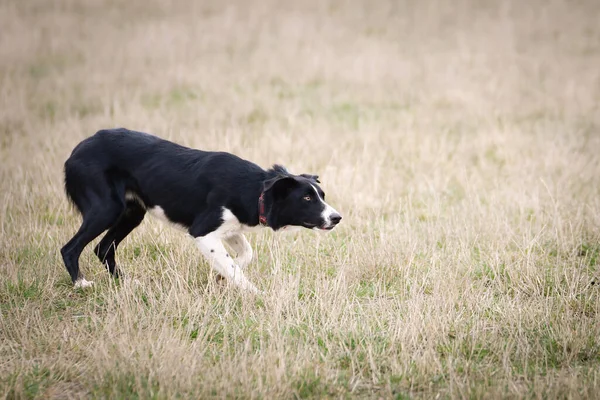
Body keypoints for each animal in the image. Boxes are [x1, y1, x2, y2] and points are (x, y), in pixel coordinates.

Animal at [62, 130, 342, 292]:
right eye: (307, 197)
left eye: (322, 195)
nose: (337, 218)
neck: (256, 191)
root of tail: (76, 151)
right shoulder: (203, 232)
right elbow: (234, 269)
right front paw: (254, 294)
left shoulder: (230, 228)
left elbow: (244, 256)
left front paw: (220, 277)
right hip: (106, 208)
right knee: (70, 248)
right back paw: (81, 284)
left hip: (131, 213)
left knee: (103, 248)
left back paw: (126, 282)